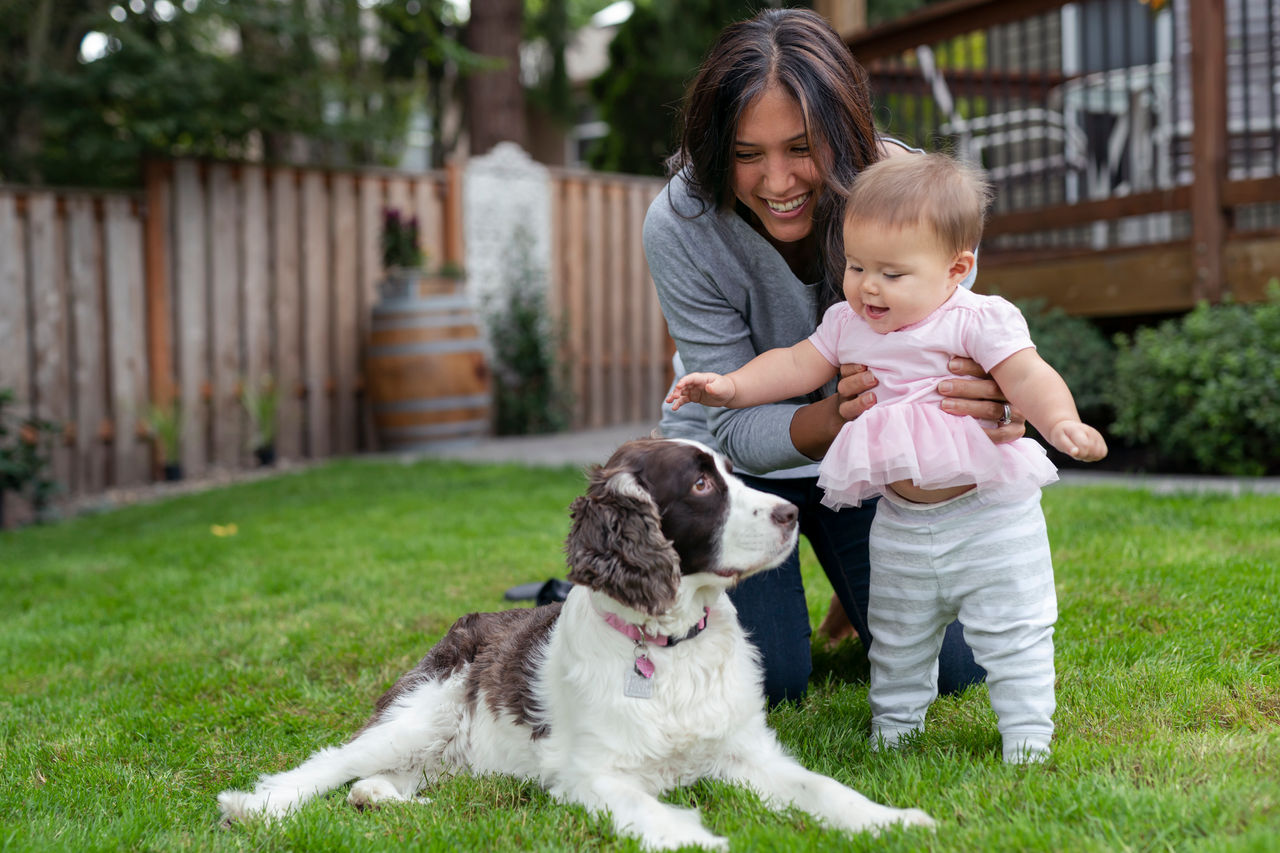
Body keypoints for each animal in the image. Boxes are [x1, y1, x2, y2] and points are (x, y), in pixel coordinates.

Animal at [212, 435, 931, 845]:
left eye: (733, 472)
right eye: (701, 483)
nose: (792, 513)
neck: (669, 645)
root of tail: (470, 621)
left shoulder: (745, 750)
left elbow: (822, 789)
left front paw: (892, 820)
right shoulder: (590, 771)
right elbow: (652, 811)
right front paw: (702, 839)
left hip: (448, 747)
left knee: (396, 773)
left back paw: (377, 794)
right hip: (424, 708)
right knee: (329, 761)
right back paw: (256, 807)